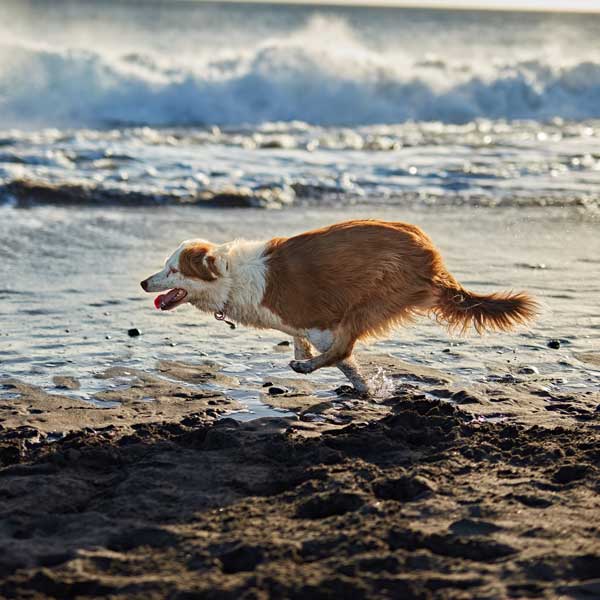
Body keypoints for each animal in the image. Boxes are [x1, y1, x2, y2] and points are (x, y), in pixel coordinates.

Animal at [142, 219, 540, 394]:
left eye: (172, 270)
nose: (144, 283)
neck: (230, 275)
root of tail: (432, 256)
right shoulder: (298, 325)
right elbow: (301, 342)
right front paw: (361, 386)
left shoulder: (320, 324)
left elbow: (341, 356)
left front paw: (360, 385)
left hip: (374, 298)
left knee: (344, 346)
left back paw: (308, 369)